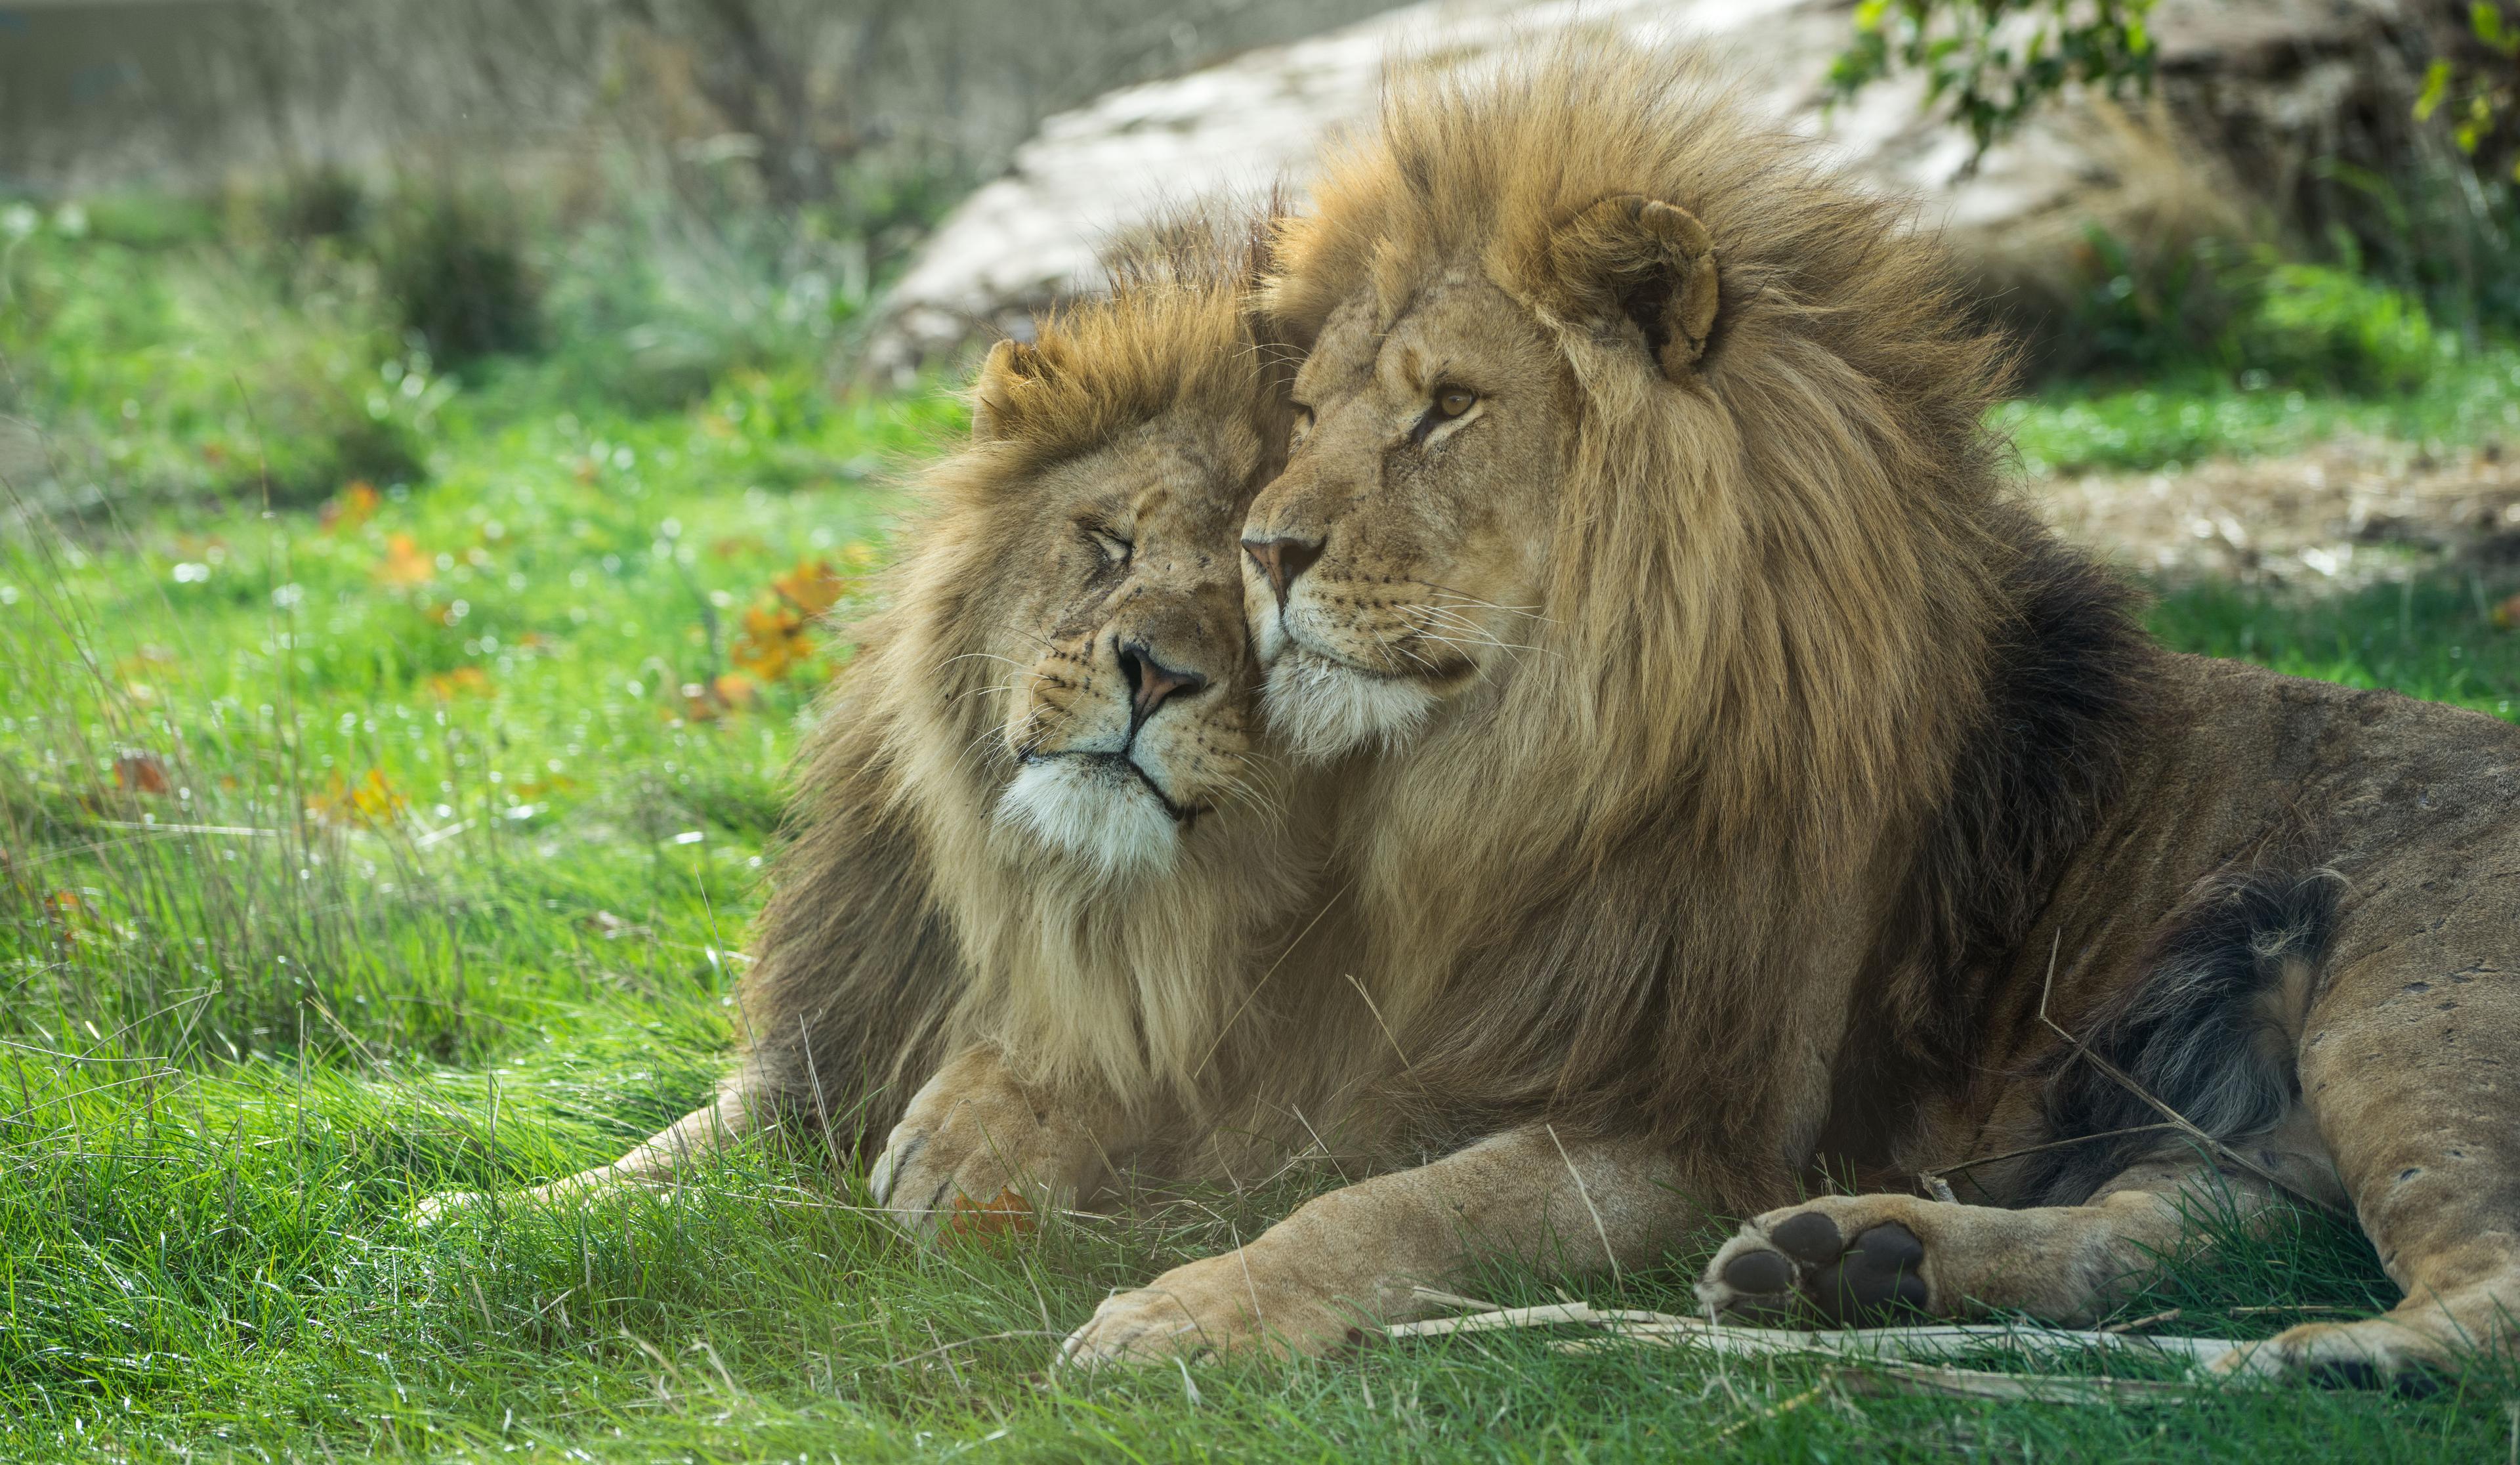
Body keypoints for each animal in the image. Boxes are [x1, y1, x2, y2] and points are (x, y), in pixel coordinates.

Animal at [420, 213, 1385, 1234]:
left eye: (1260, 585)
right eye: (1111, 541)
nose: (1158, 674)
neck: (1049, 889)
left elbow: (1146, 1028)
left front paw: (984, 1133)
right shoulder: (831, 1036)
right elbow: (655, 1157)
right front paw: (469, 1218)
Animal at [1059, 41, 2520, 1383]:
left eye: (1451, 407)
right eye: (1308, 414)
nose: (1262, 550)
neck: (1538, 754)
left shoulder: (1700, 1124)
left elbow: (1396, 1207)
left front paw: (1185, 1307)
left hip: (2407, 1022)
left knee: (2476, 1296)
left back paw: (2326, 1361)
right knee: (2184, 1228)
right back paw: (1862, 1262)